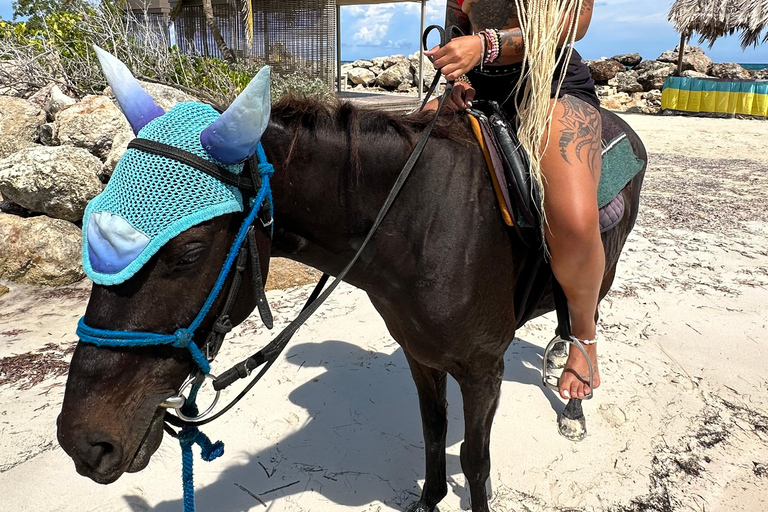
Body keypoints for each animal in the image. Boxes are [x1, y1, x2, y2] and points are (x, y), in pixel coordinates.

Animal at [57, 51, 640, 512]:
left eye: (189, 252)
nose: (84, 442)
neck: (425, 220)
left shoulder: (483, 371)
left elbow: (475, 461)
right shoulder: (421, 355)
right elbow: (433, 432)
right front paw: (429, 500)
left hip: (601, 265)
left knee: (586, 316)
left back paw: (574, 395)